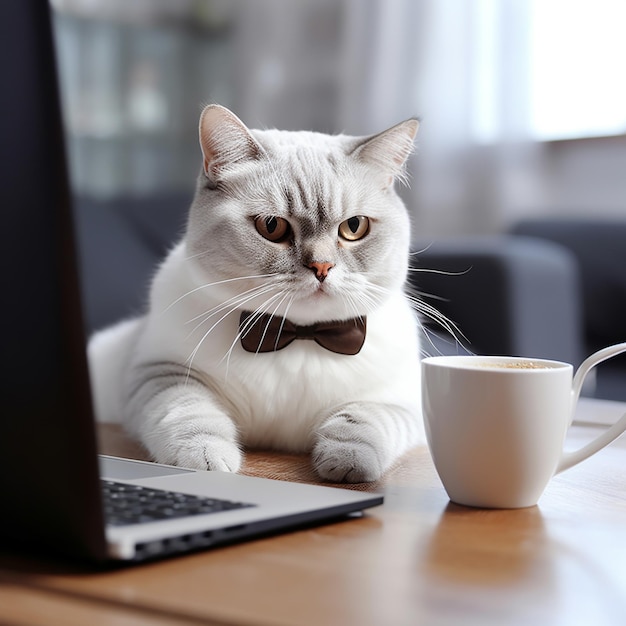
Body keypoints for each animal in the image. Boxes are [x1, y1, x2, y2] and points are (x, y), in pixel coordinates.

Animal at [89, 103, 424, 482]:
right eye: (272, 227)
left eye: (354, 227)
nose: (322, 267)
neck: (298, 337)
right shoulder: (160, 372)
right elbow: (189, 412)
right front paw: (206, 459)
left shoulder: (401, 399)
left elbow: (363, 420)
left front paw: (348, 463)